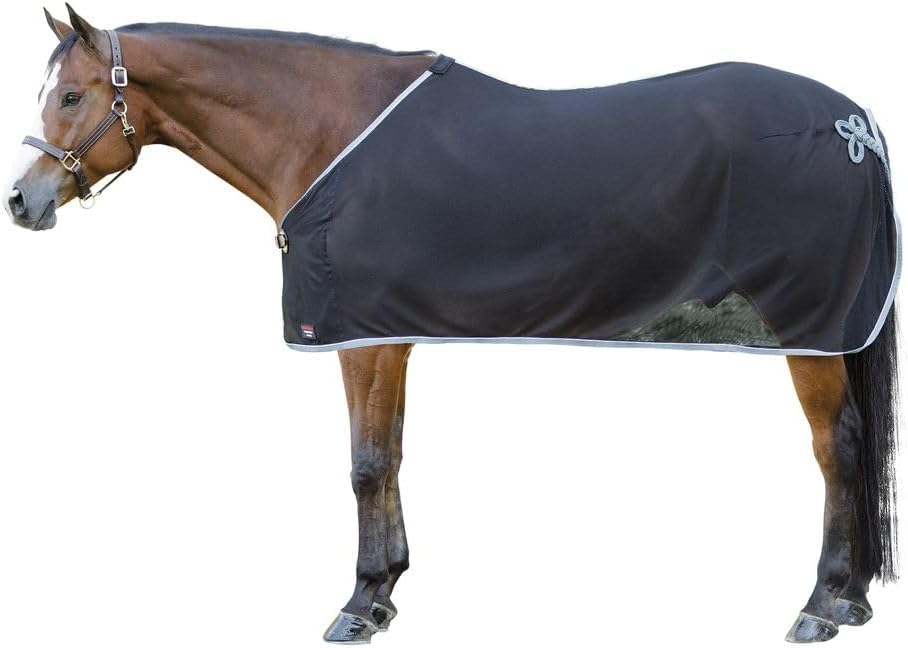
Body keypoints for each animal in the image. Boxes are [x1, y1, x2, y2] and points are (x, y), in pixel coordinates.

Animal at [5, 6, 899, 644]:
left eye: (73, 95)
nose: (21, 200)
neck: (326, 132)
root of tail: (856, 123)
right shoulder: (388, 333)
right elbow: (393, 453)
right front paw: (388, 588)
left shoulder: (359, 334)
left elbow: (366, 463)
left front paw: (357, 605)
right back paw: (852, 600)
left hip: (809, 326)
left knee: (837, 445)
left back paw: (820, 605)